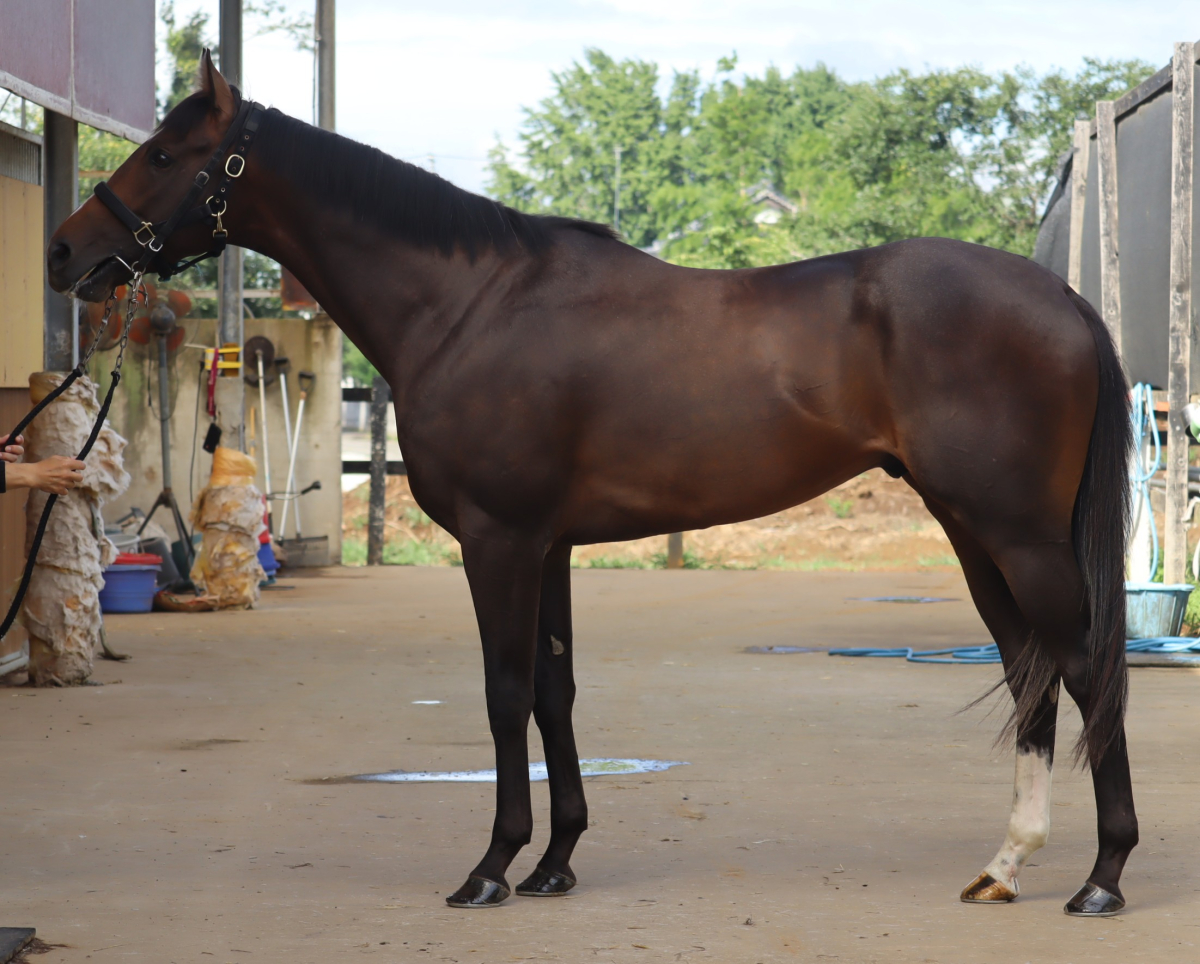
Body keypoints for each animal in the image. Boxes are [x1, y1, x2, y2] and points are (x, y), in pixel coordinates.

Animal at [46, 52, 1137, 916]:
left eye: (165, 154)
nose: (64, 251)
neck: (468, 302)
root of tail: (1064, 299)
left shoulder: (498, 538)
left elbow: (503, 693)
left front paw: (492, 865)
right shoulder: (550, 543)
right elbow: (555, 690)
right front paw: (556, 860)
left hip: (1017, 534)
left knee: (1084, 666)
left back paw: (1102, 877)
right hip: (973, 530)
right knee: (1031, 670)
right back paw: (1006, 864)